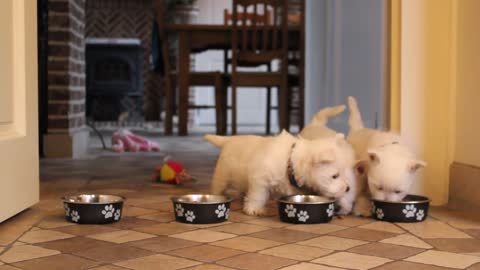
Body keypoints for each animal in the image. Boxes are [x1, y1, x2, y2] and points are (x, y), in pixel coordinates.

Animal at [203, 130, 348, 216]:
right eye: (334, 176)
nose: (347, 188)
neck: (289, 163)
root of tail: (228, 140)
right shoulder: (260, 181)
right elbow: (258, 195)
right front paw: (254, 209)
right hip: (222, 176)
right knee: (217, 187)